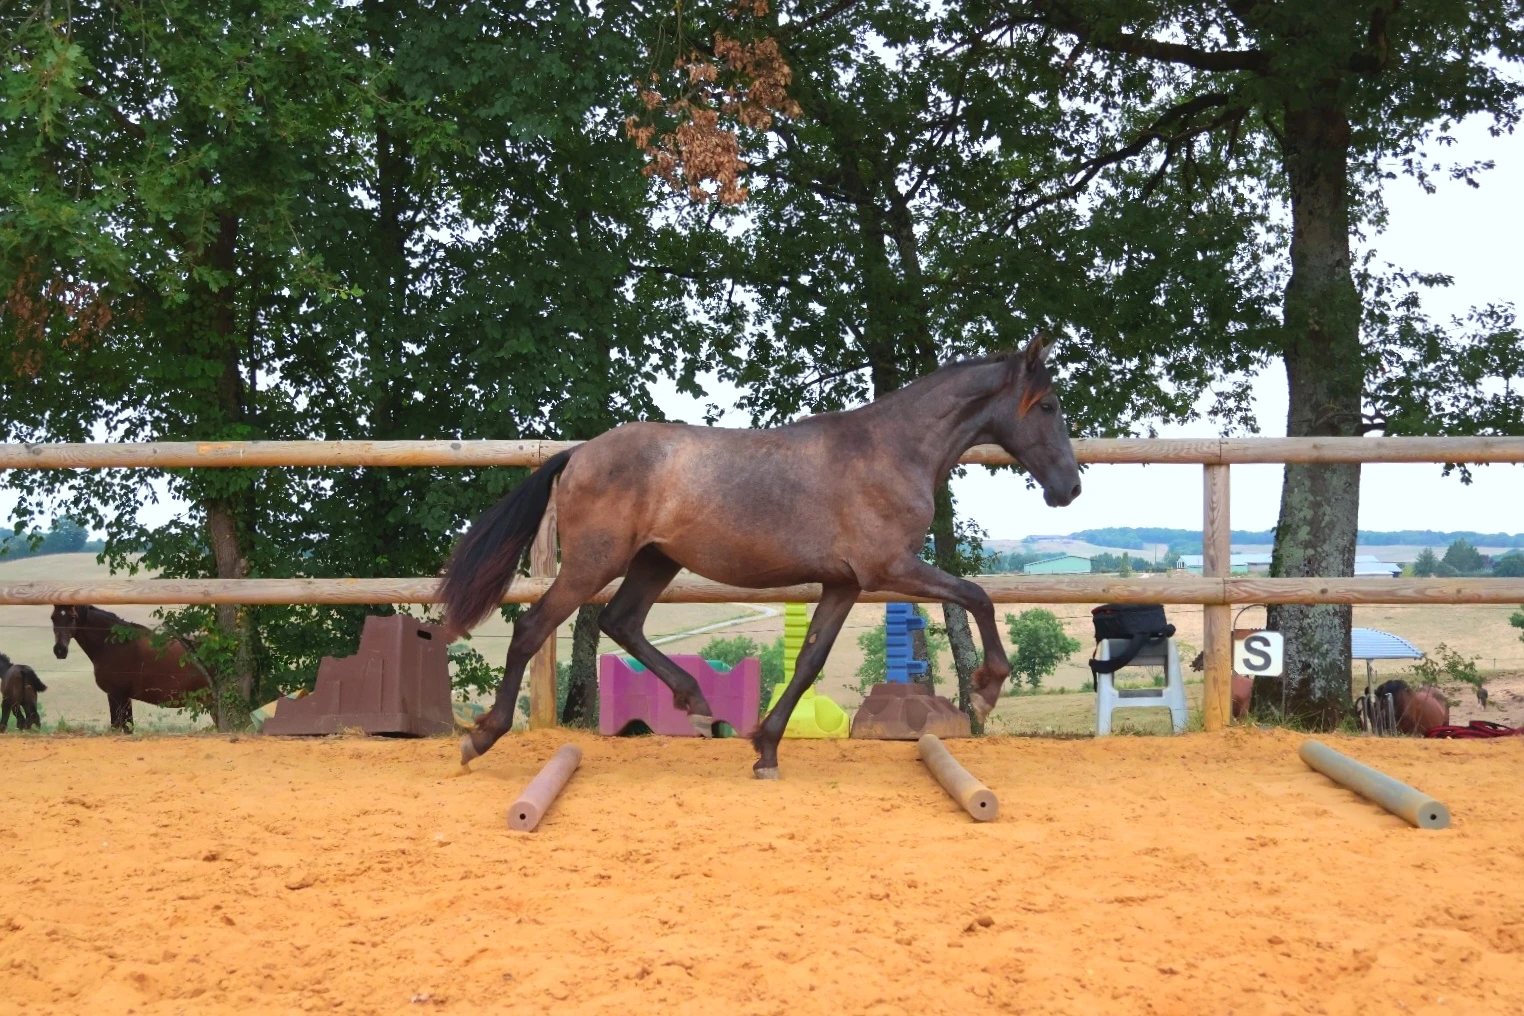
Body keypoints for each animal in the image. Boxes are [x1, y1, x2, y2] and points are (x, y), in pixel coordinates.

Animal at [50, 605, 211, 731]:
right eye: (53, 618)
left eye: (72, 617)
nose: (60, 650)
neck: (114, 644)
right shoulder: (125, 698)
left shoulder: (116, 695)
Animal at [440, 338, 1082, 778]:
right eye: (1048, 405)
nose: (1070, 488)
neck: (890, 450)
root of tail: (577, 454)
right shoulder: (890, 569)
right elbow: (978, 594)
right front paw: (987, 689)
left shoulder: (845, 584)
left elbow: (809, 662)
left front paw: (765, 747)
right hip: (593, 564)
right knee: (532, 626)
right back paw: (481, 737)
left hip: (655, 561)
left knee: (623, 622)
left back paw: (699, 706)